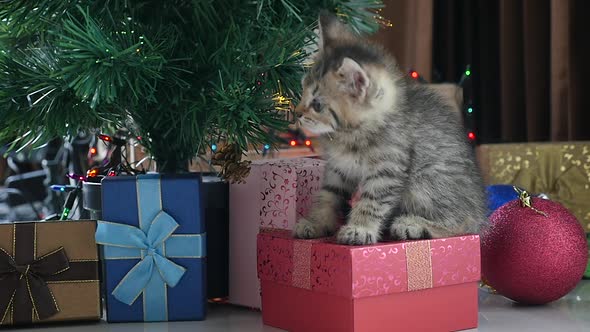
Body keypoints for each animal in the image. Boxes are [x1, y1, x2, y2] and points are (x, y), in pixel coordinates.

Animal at [294, 14, 488, 244]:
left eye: (317, 105)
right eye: (302, 90)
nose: (296, 113)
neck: (350, 136)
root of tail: (482, 208)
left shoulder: (388, 169)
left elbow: (371, 202)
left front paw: (359, 229)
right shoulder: (338, 169)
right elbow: (327, 196)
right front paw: (316, 223)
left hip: (426, 180)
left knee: (465, 224)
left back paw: (412, 224)